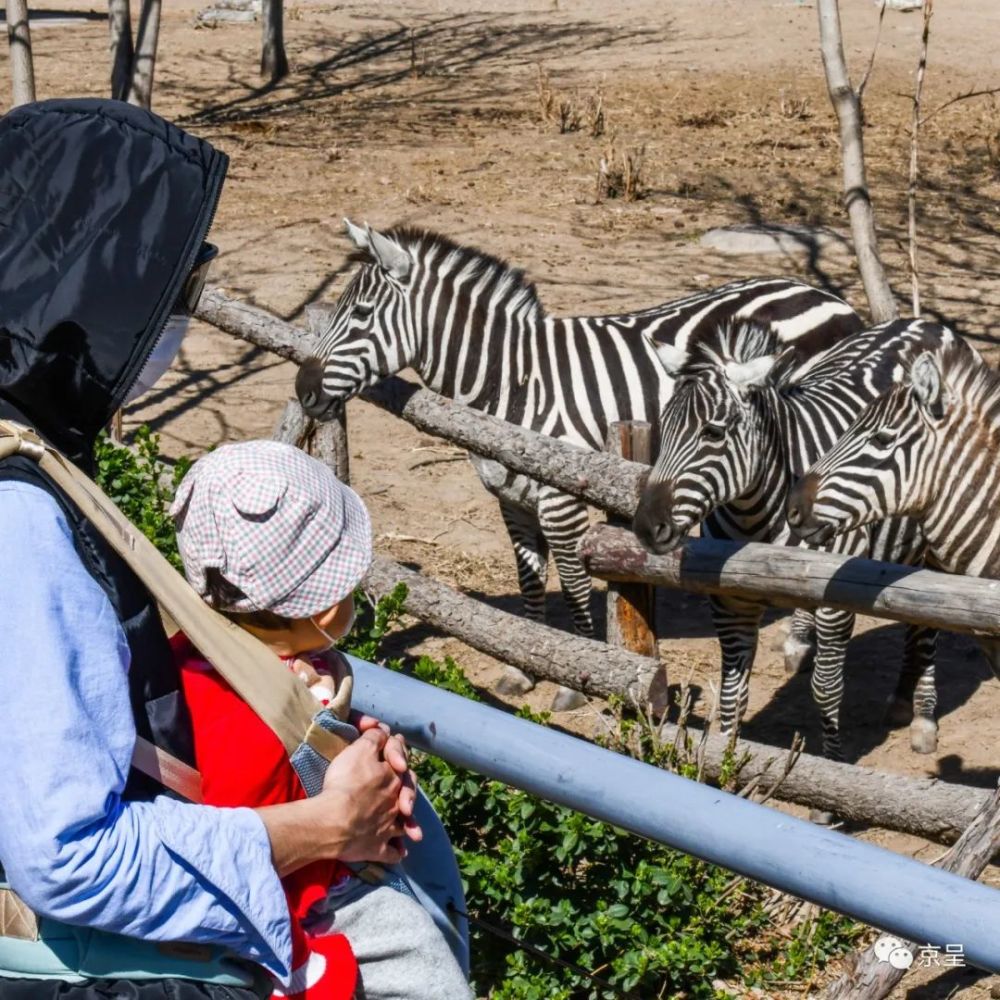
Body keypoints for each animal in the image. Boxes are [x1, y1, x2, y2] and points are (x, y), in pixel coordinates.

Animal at [294, 219, 860, 640]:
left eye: (361, 312)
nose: (302, 388)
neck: (512, 380)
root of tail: (827, 296)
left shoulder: (560, 502)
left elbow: (571, 580)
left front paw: (582, 665)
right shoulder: (511, 498)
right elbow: (528, 575)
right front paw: (529, 663)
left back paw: (799, 639)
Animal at [632, 318, 944, 756]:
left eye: (713, 433)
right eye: (666, 426)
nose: (647, 526)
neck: (755, 516)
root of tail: (923, 321)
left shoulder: (835, 603)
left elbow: (827, 690)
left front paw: (834, 762)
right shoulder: (729, 603)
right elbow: (732, 695)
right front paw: (721, 758)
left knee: (928, 625)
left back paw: (923, 716)